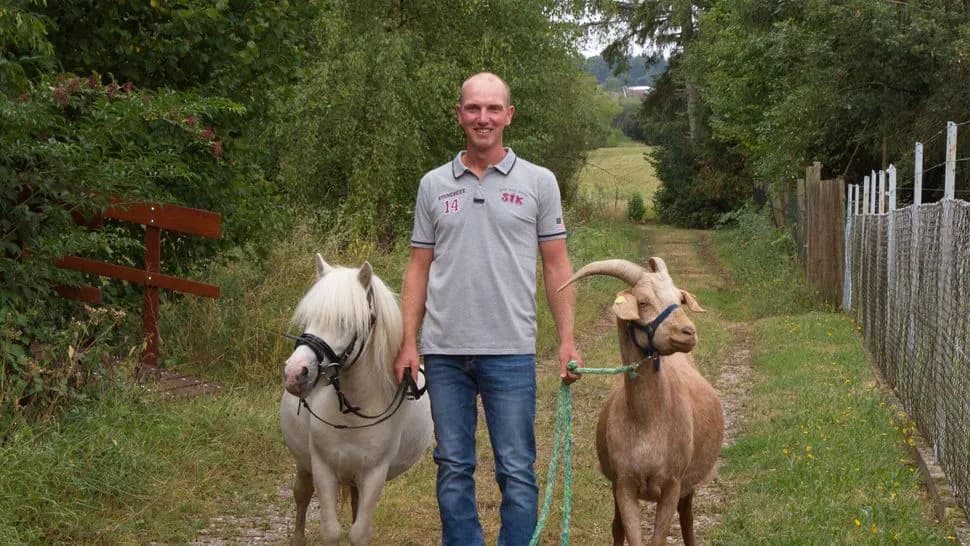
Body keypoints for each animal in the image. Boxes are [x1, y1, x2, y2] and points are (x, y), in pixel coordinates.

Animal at [560, 257, 723, 546]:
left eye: (679, 298)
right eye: (644, 302)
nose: (688, 332)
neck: (648, 422)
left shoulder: (672, 483)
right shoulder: (624, 483)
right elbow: (629, 534)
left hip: (689, 483)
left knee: (688, 519)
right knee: (617, 527)